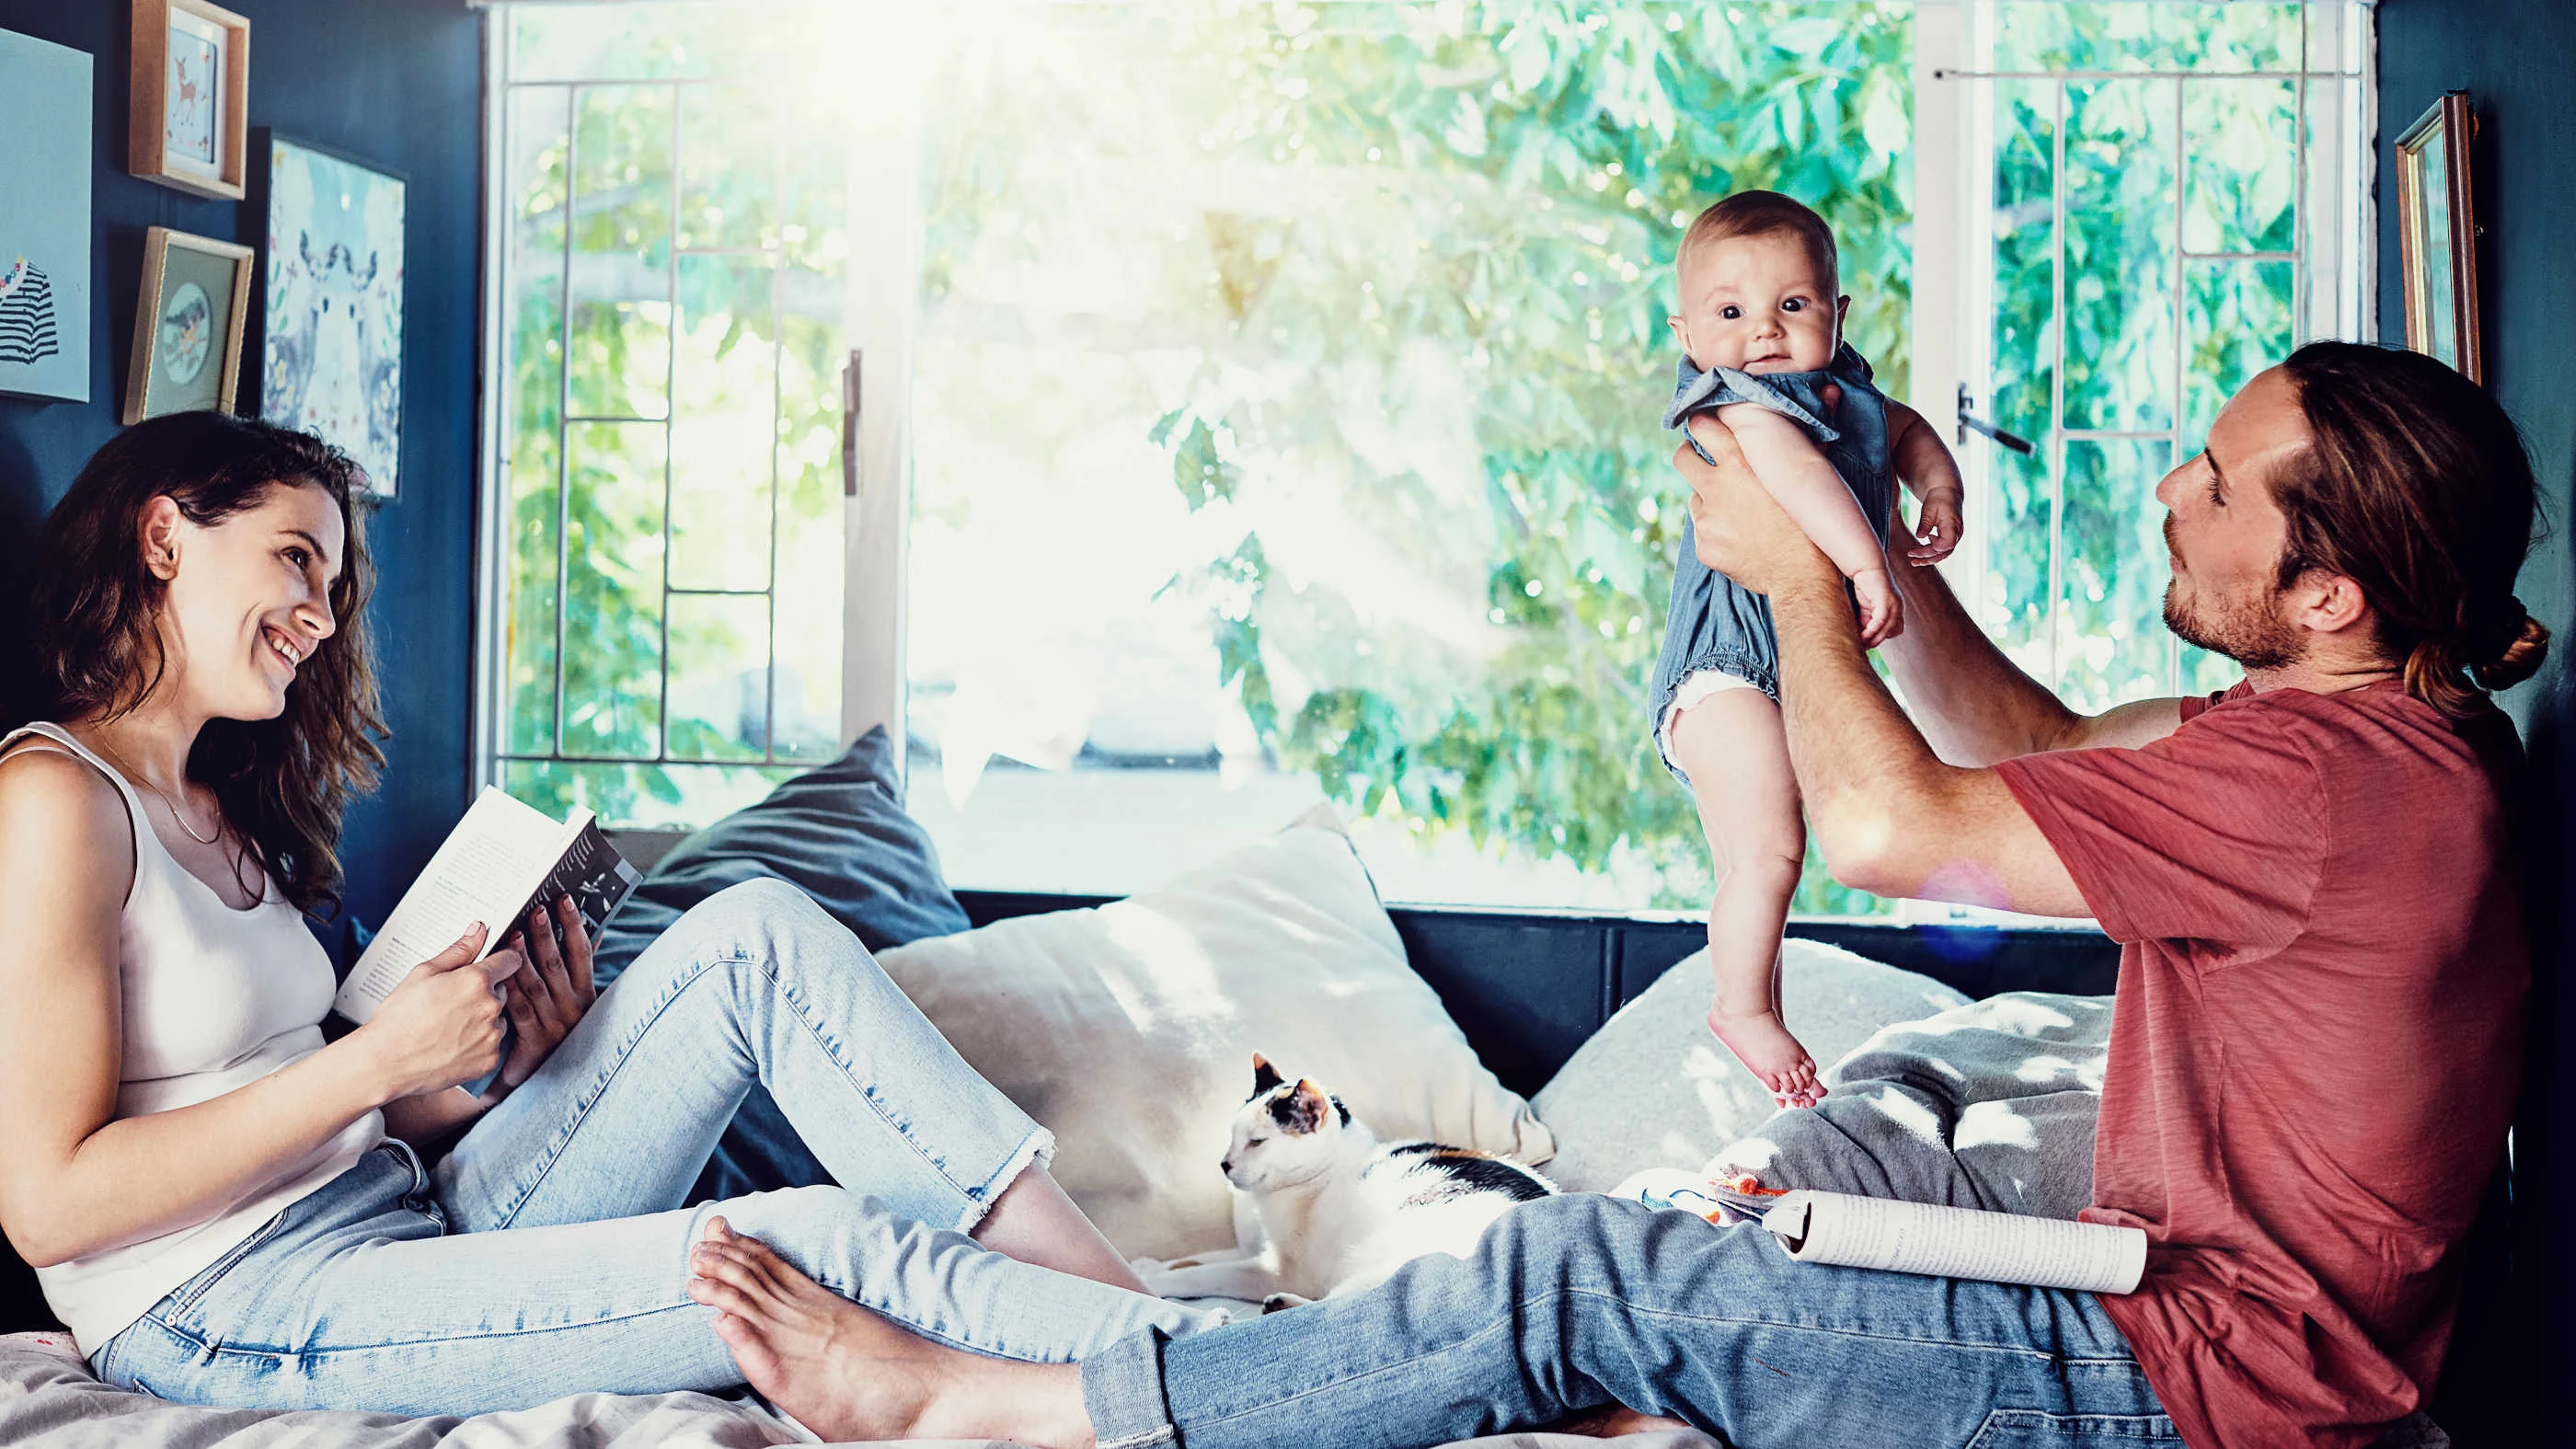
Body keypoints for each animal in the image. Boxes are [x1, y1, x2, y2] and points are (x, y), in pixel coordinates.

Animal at [1144, 1046, 1546, 1309]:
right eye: (1233, 1135)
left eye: (1257, 1142)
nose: (1224, 1164)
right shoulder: (1248, 1249)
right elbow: (1199, 1258)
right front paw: (1151, 1265)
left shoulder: (1275, 1270)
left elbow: (1207, 1273)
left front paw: (1153, 1281)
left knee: (1333, 1308)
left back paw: (1281, 1304)